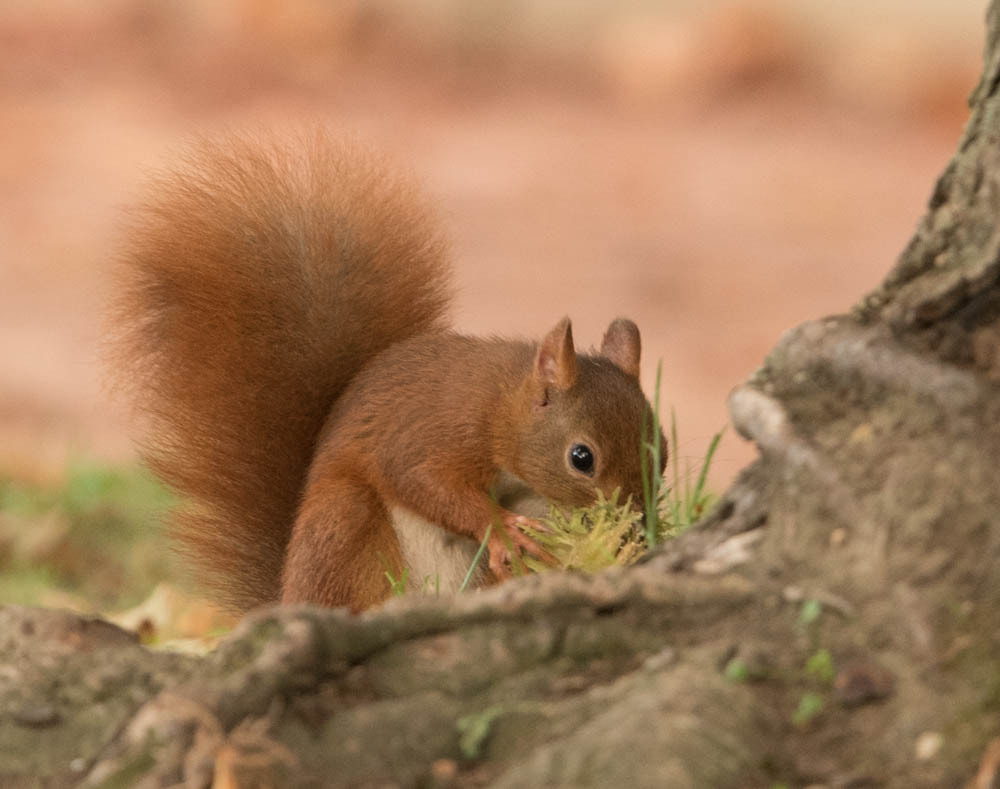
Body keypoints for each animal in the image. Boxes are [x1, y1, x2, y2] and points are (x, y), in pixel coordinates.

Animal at [111, 129, 664, 612]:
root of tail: (286, 594)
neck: (501, 405)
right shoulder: (436, 428)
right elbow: (420, 478)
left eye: (661, 448)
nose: (635, 529)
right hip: (345, 526)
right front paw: (498, 527)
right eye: (581, 458)